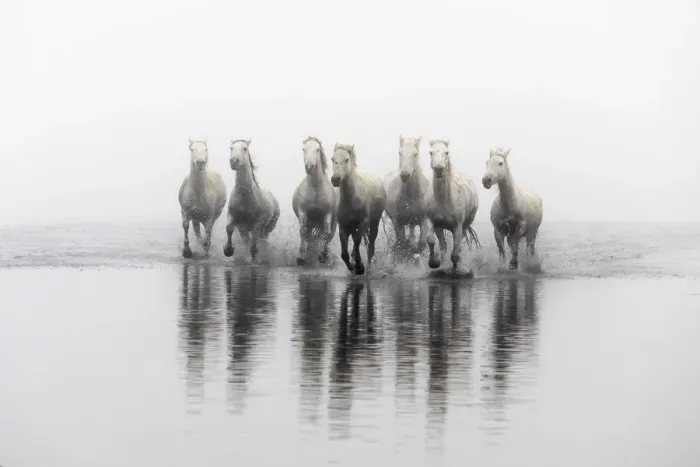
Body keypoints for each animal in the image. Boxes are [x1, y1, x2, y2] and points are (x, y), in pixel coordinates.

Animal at [292, 136, 338, 265]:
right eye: (303, 149)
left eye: (317, 149)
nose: (309, 166)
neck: (315, 188)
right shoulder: (303, 212)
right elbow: (303, 232)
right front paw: (301, 257)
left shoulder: (327, 214)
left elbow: (326, 234)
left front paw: (322, 256)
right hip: (311, 222)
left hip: (332, 222)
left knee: (329, 235)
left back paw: (325, 254)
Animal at [330, 142, 387, 276]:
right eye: (333, 159)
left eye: (346, 159)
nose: (335, 179)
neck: (352, 199)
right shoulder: (343, 226)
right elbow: (344, 254)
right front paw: (352, 267)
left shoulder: (363, 223)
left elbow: (357, 241)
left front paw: (360, 267)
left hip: (374, 222)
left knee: (370, 247)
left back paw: (368, 269)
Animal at [424, 139, 480, 270]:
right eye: (431, 152)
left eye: (446, 152)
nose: (439, 169)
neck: (443, 201)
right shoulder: (432, 221)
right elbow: (431, 240)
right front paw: (434, 263)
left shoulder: (457, 227)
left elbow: (455, 254)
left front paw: (455, 270)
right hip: (440, 227)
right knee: (443, 245)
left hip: (466, 223)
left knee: (458, 246)